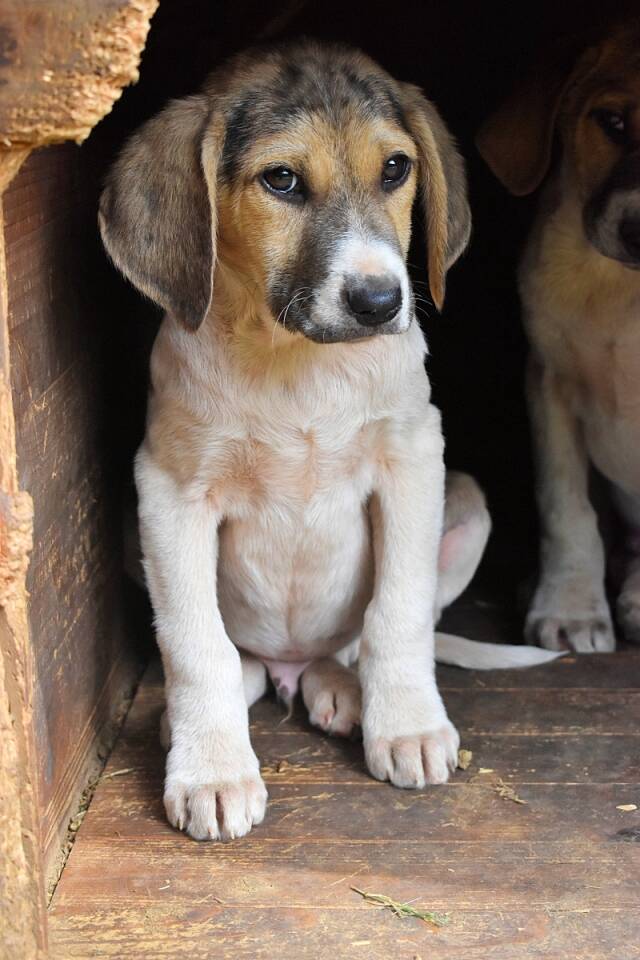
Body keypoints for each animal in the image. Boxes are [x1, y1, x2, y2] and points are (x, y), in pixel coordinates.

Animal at [101, 40, 558, 842]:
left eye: (396, 169)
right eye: (281, 180)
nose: (379, 302)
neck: (298, 363)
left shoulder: (413, 460)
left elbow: (397, 613)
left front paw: (406, 725)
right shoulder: (168, 490)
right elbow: (195, 643)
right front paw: (212, 769)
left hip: (467, 503)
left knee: (345, 646)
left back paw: (341, 688)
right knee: (241, 659)